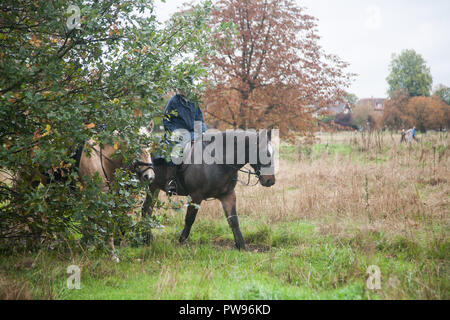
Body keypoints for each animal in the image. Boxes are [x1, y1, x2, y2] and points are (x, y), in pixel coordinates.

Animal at [143, 130, 274, 250]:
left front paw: (241, 245)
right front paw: (181, 241)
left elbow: (233, 220)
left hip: (154, 188)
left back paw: (147, 238)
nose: (270, 181)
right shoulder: (195, 196)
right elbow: (189, 219)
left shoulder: (228, 195)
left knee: (147, 209)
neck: (218, 163)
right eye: (264, 153)